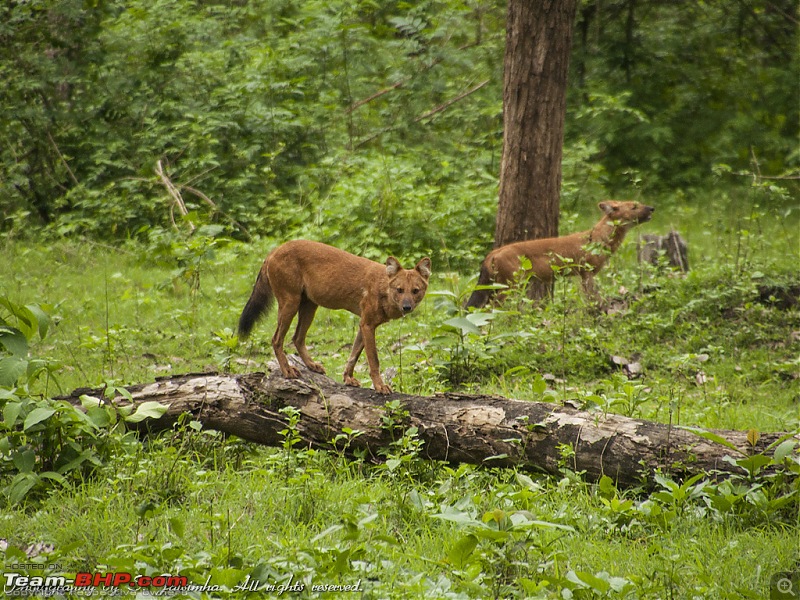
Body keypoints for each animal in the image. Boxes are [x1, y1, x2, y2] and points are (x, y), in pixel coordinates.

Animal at [239, 239, 432, 394]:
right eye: (399, 290)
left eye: (415, 291)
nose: (407, 307)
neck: (383, 288)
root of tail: (275, 250)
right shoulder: (368, 325)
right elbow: (374, 361)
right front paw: (380, 386)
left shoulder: (363, 325)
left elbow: (353, 355)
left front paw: (348, 378)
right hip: (290, 303)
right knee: (276, 339)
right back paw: (287, 371)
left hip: (310, 306)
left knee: (297, 338)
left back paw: (312, 365)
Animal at [466, 200, 652, 308]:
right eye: (634, 206)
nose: (652, 207)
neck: (598, 239)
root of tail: (492, 253)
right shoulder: (586, 272)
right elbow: (594, 299)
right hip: (510, 285)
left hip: (495, 286)